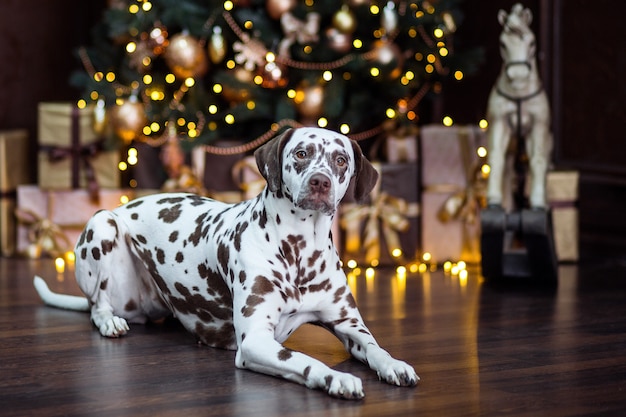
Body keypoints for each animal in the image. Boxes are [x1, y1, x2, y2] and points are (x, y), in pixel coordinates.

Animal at [33, 126, 414, 396]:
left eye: (340, 160)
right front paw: (335, 377)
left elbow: (375, 347)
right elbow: (304, 359)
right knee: (97, 304)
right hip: (102, 224)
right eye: (302, 153)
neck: (300, 251)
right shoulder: (255, 341)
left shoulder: (349, 326)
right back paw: (109, 320)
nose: (320, 182)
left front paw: (394, 364)